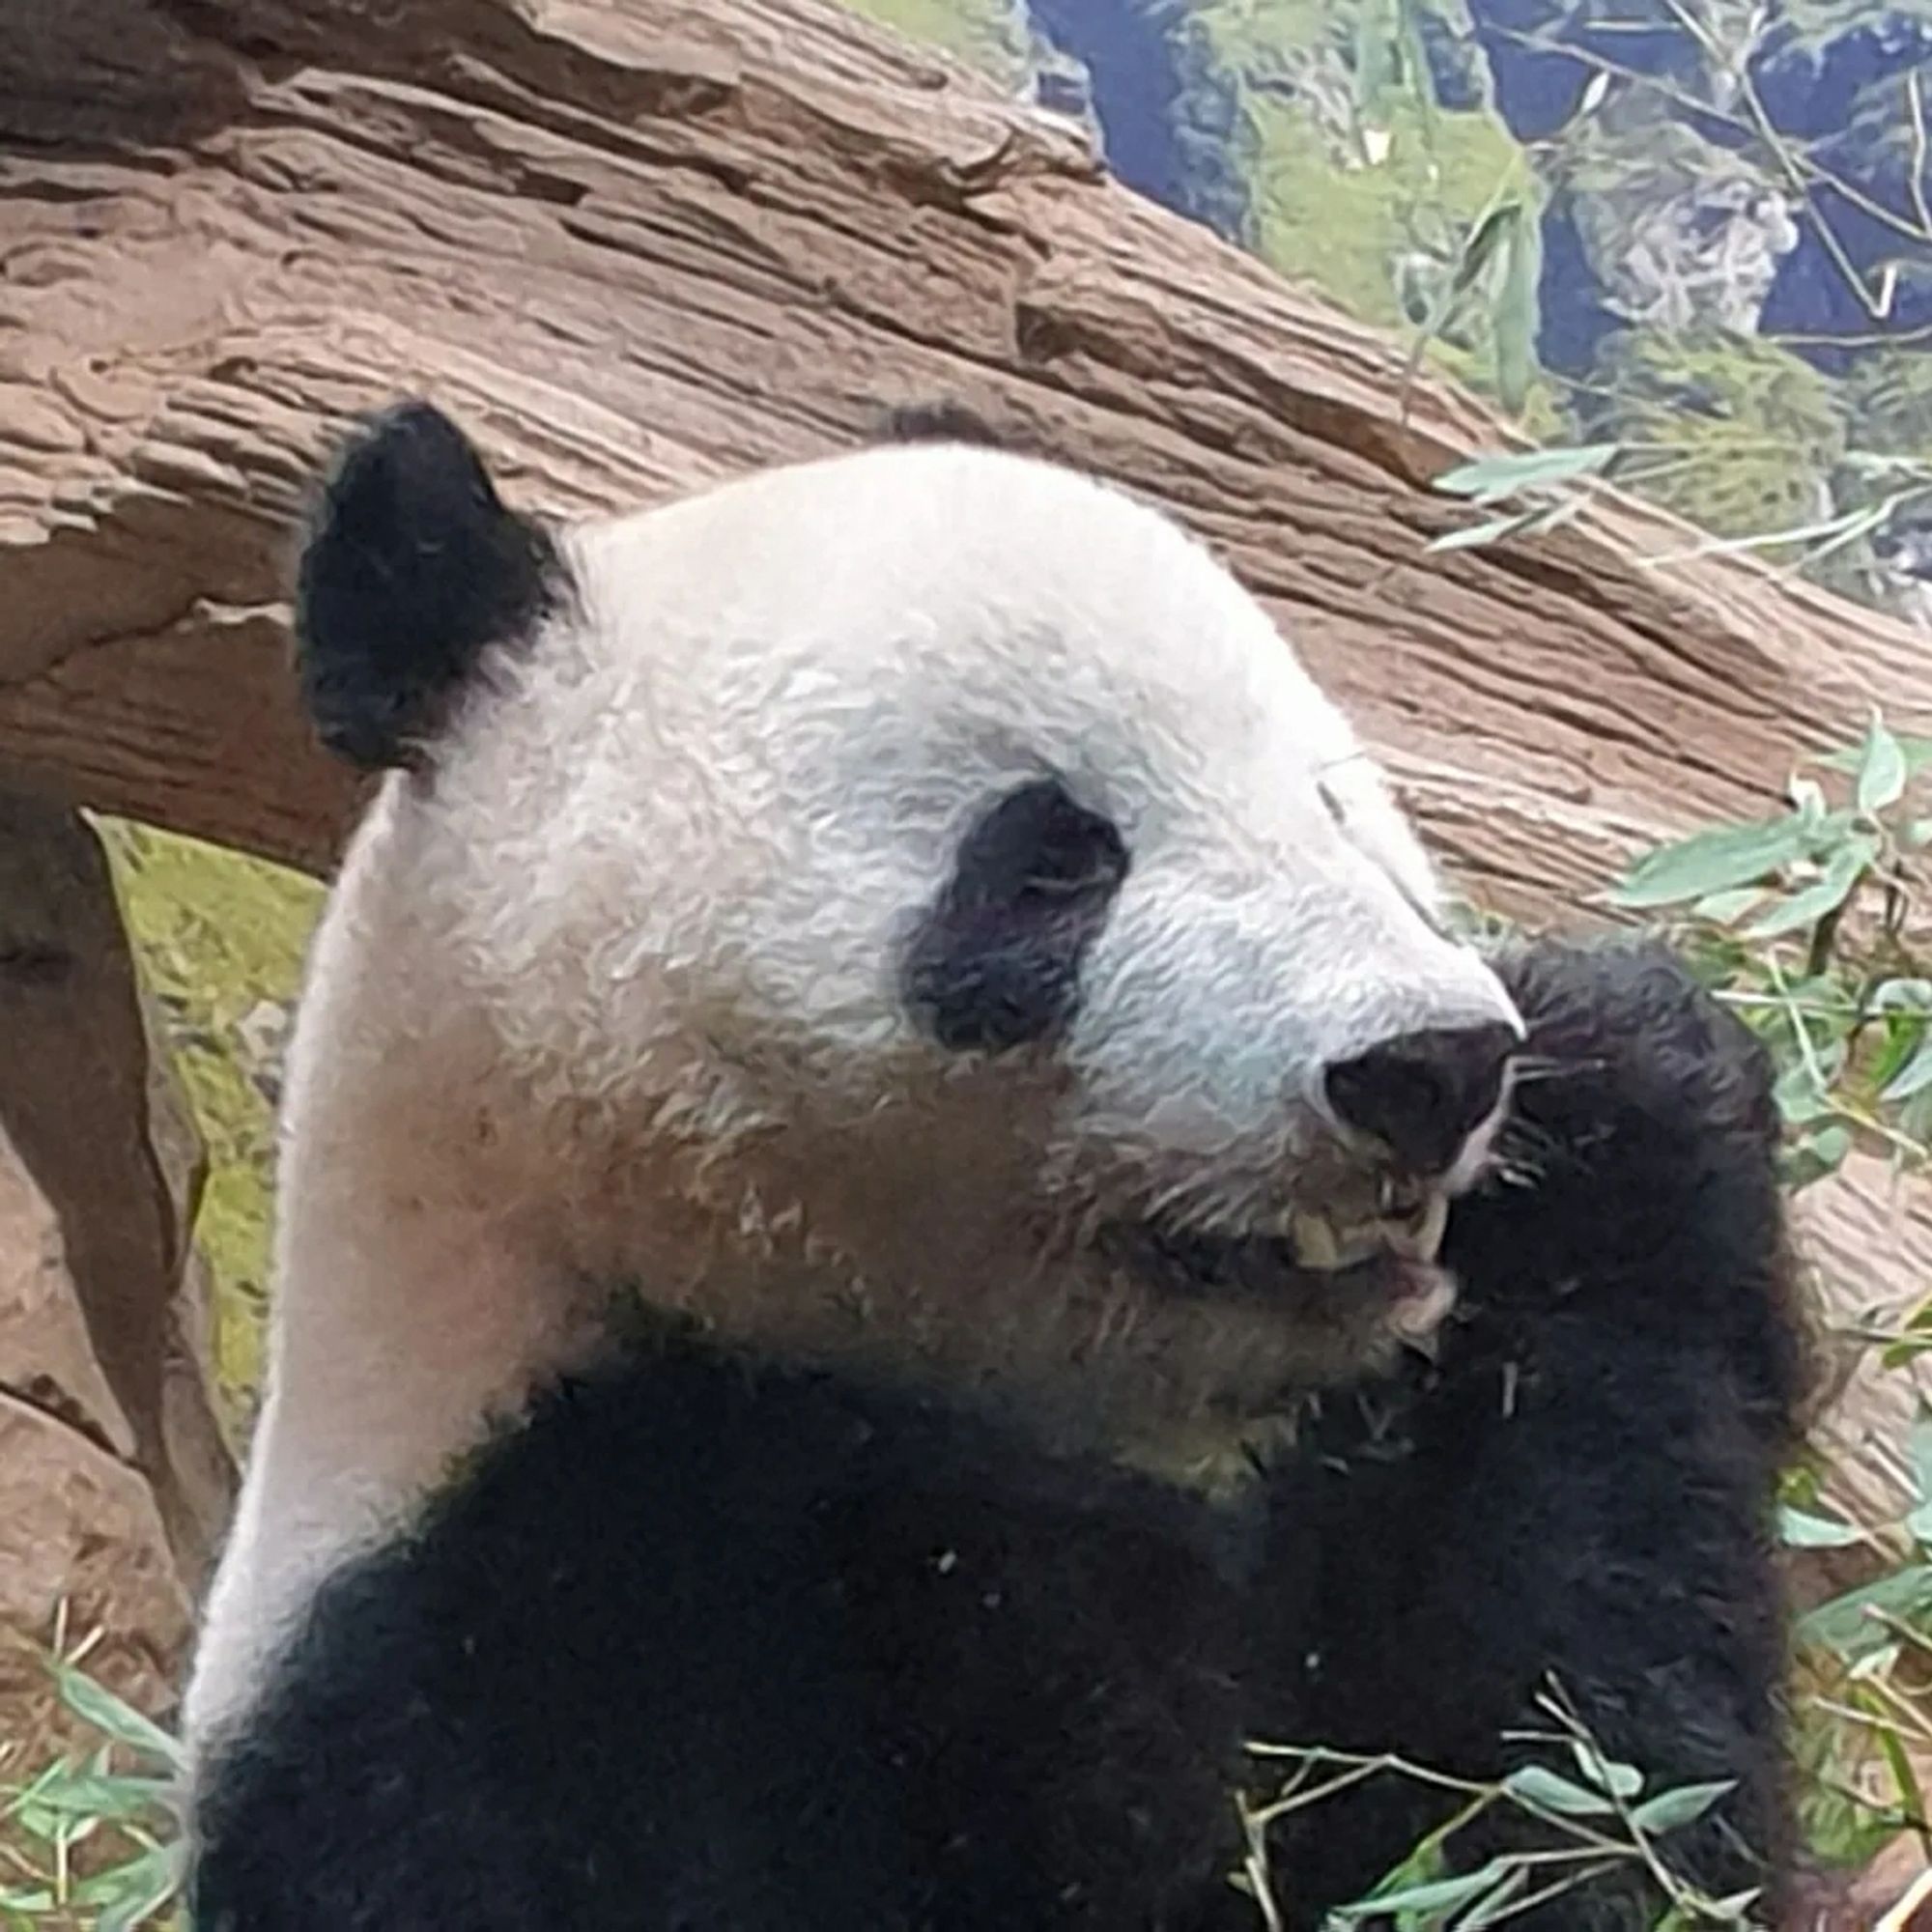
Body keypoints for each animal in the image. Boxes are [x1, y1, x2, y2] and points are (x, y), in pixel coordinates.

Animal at [185, 396, 1808, 1932]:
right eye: (1053, 862)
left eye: (1332, 803)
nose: (1427, 1068)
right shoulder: (566, 1656)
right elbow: (1493, 1831)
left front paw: (1630, 1100)